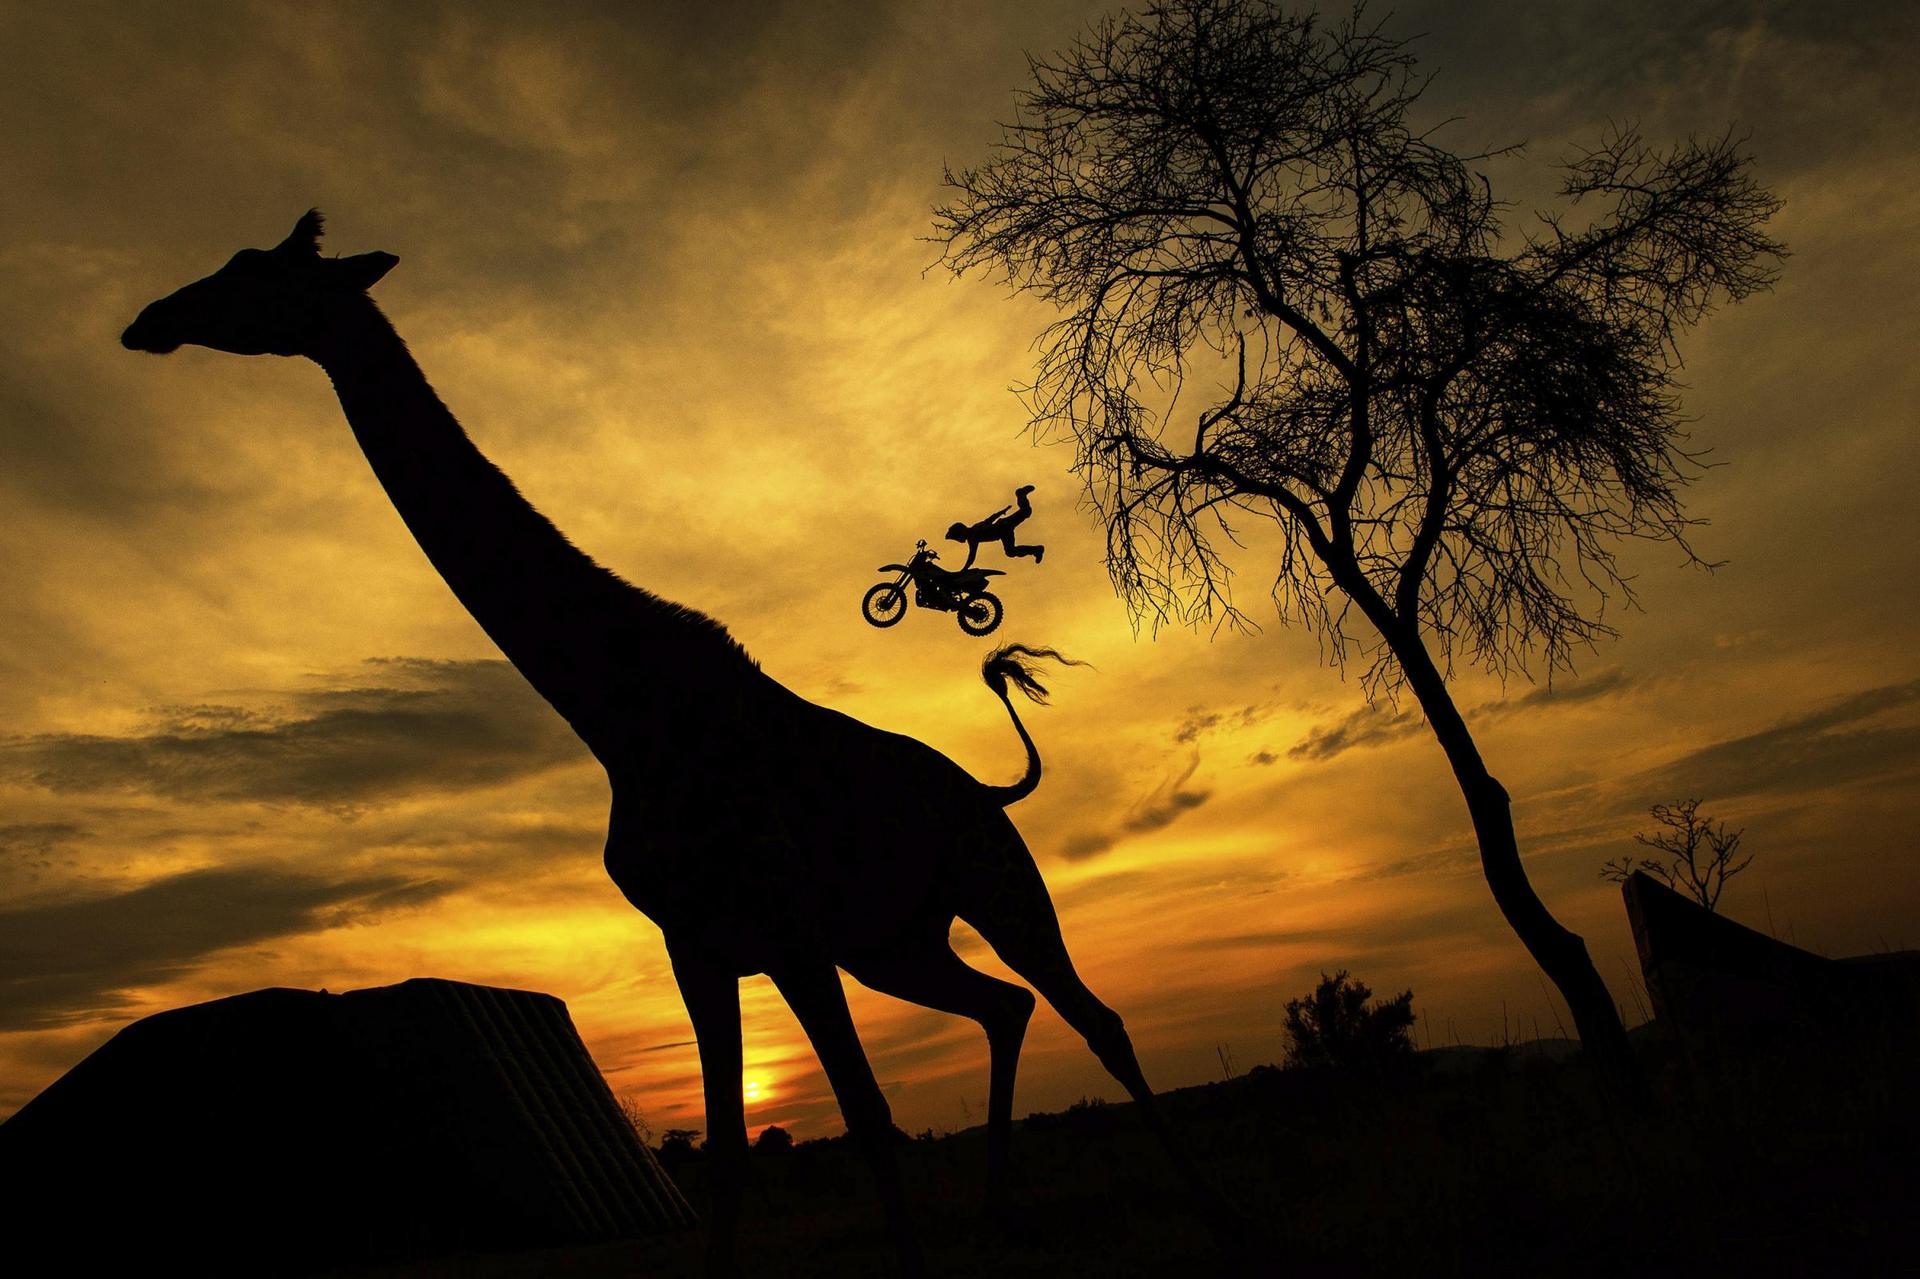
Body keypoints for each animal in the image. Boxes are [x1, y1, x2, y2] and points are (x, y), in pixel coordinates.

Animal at [121, 212, 1232, 1274]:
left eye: (256, 270)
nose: (149, 318)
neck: (620, 719)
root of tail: (992, 790)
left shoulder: (784, 931)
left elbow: (868, 1117)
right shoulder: (697, 943)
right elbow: (733, 1147)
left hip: (997, 888)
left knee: (1094, 1016)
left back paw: (1202, 1203)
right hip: (896, 941)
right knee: (1003, 1008)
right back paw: (1002, 1217)